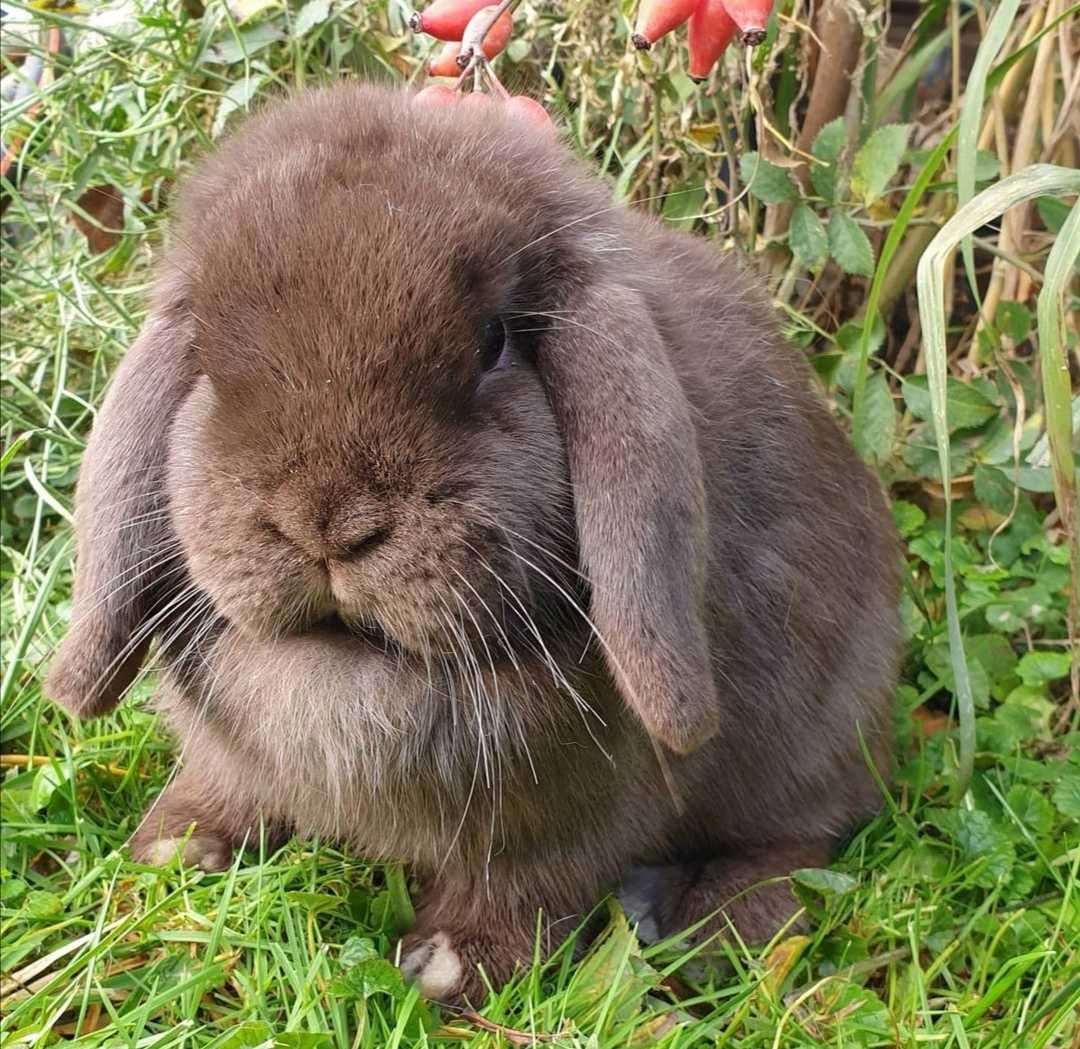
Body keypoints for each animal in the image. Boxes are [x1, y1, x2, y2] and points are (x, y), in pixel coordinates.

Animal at [44, 82, 902, 1002]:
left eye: (493, 342)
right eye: (205, 356)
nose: (326, 521)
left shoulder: (579, 814)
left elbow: (528, 881)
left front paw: (448, 966)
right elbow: (226, 784)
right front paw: (177, 844)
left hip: (814, 731)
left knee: (799, 838)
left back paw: (715, 930)